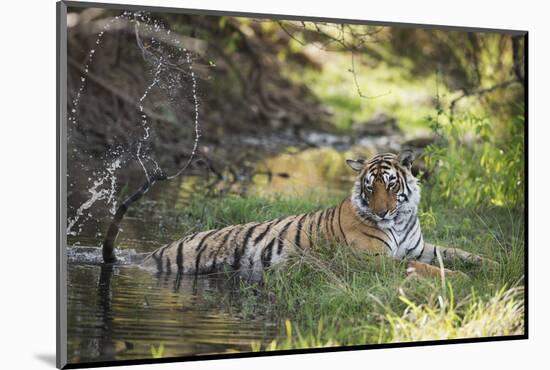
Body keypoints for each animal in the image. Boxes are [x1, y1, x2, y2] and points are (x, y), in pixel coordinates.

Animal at [140, 150, 498, 280]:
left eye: (391, 184)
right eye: (370, 188)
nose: (381, 211)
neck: (398, 220)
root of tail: (151, 253)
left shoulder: (418, 247)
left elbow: (455, 252)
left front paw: (492, 264)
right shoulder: (374, 260)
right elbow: (424, 267)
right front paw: (461, 279)